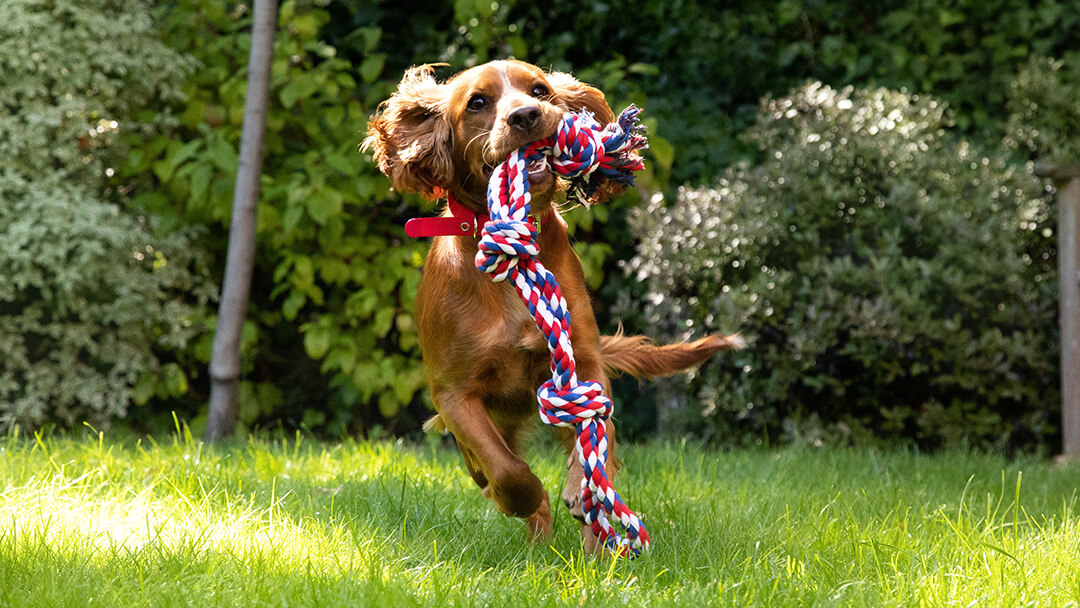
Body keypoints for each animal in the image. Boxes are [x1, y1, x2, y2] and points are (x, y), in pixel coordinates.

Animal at [362, 59, 743, 548]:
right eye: (477, 102)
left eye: (539, 90)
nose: (526, 116)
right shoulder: (453, 392)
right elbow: (507, 470)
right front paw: (527, 499)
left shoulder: (582, 360)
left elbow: (595, 435)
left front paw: (583, 492)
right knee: (488, 471)